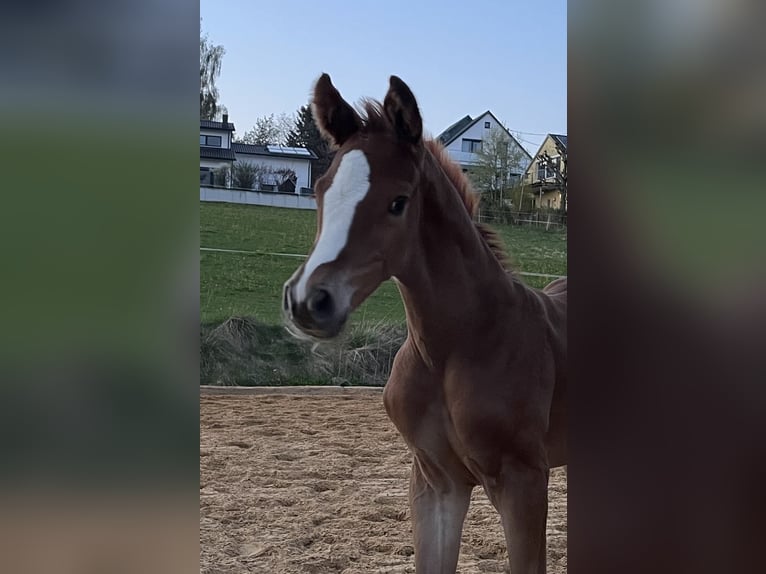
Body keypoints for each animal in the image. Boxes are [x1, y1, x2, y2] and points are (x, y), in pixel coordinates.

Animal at [284, 76, 568, 574]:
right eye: (320, 191)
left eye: (398, 202)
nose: (308, 302)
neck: (456, 347)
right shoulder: (436, 483)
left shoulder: (524, 482)